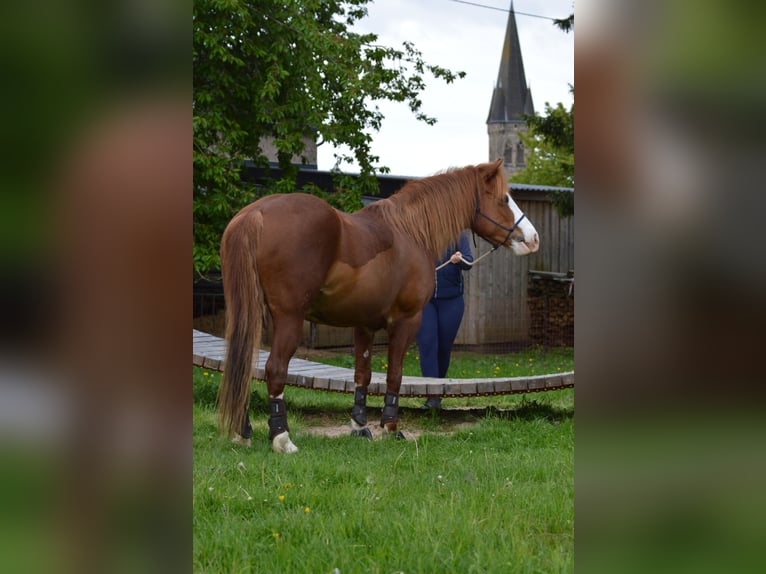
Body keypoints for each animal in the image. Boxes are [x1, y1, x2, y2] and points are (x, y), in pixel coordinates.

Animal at [217, 159, 539, 452]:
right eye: (502, 199)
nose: (533, 239)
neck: (409, 231)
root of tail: (255, 213)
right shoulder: (407, 321)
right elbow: (394, 375)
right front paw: (391, 428)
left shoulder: (364, 325)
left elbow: (363, 374)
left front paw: (360, 426)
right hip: (289, 318)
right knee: (274, 369)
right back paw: (282, 439)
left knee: (243, 364)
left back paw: (243, 431)